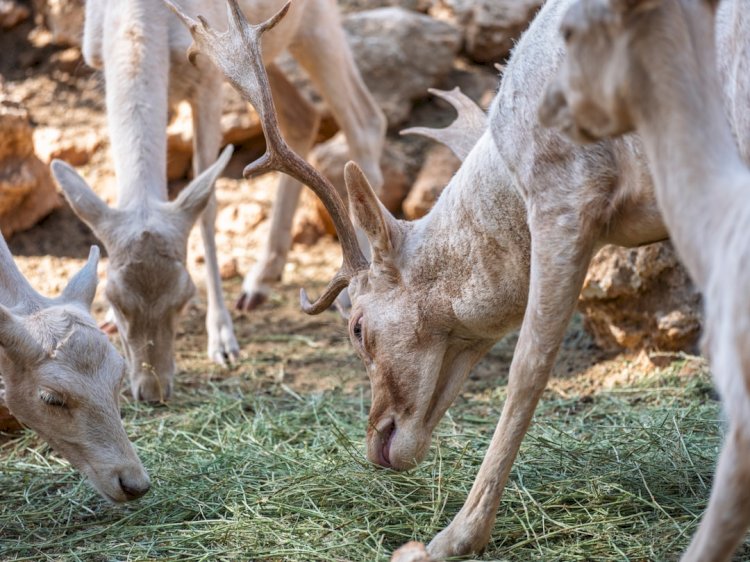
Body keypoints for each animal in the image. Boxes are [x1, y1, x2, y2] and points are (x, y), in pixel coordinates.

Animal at [52, 0, 385, 402]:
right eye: (113, 299)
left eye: (183, 298)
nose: (152, 390)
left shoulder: (208, 80)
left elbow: (208, 204)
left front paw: (223, 338)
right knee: (302, 117)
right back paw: (258, 282)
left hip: (315, 23)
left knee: (364, 121)